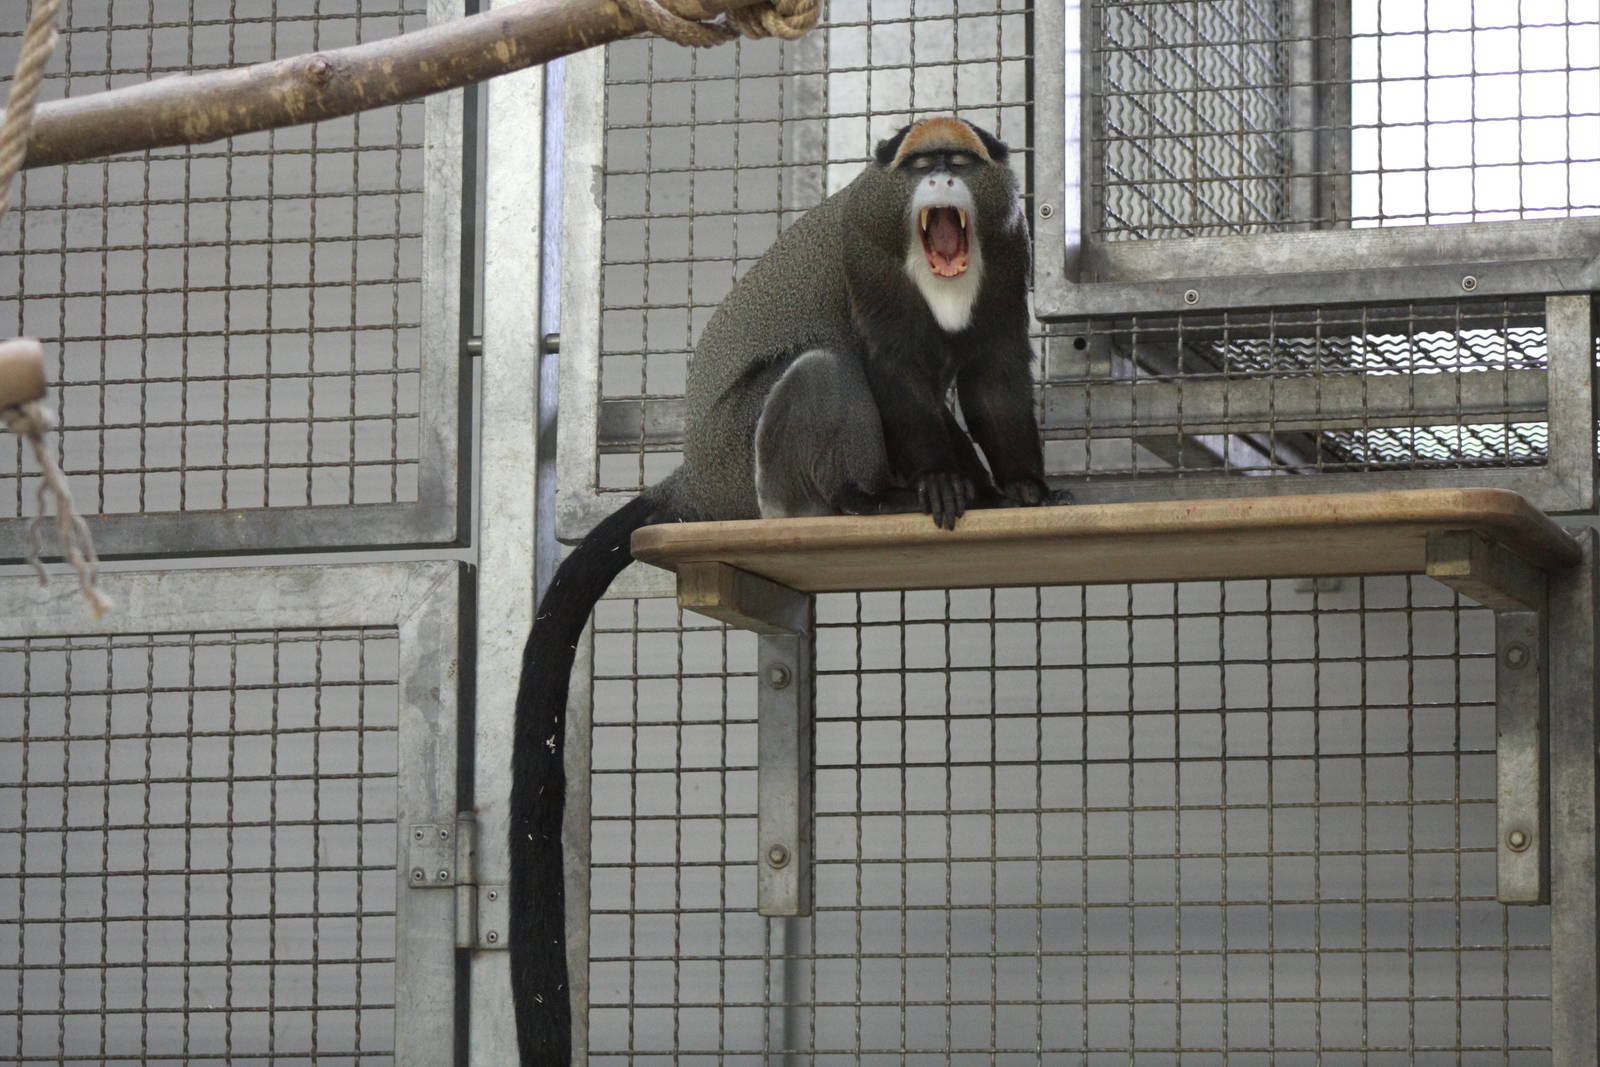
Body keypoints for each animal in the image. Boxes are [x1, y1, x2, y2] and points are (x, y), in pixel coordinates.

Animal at [511, 116, 1056, 1063]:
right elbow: (888, 371)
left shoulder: (1009, 259)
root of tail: (693, 480)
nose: (940, 180)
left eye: (961, 161)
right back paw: (856, 501)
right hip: (751, 458)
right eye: (919, 165)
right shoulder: (867, 262)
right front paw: (946, 483)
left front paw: (1020, 487)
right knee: (821, 368)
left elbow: (993, 374)